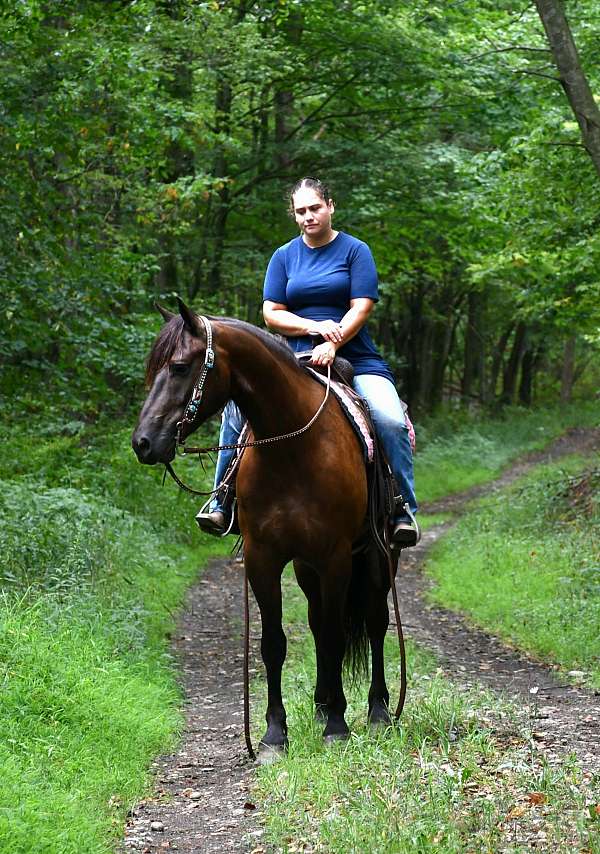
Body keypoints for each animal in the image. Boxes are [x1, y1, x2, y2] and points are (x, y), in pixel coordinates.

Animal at [132, 300, 400, 760]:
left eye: (180, 367)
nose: (143, 442)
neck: (292, 448)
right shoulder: (264, 558)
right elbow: (275, 644)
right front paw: (276, 734)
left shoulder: (335, 558)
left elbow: (336, 636)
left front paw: (338, 726)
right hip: (308, 570)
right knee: (317, 622)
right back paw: (321, 704)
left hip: (377, 558)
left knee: (375, 621)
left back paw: (378, 710)